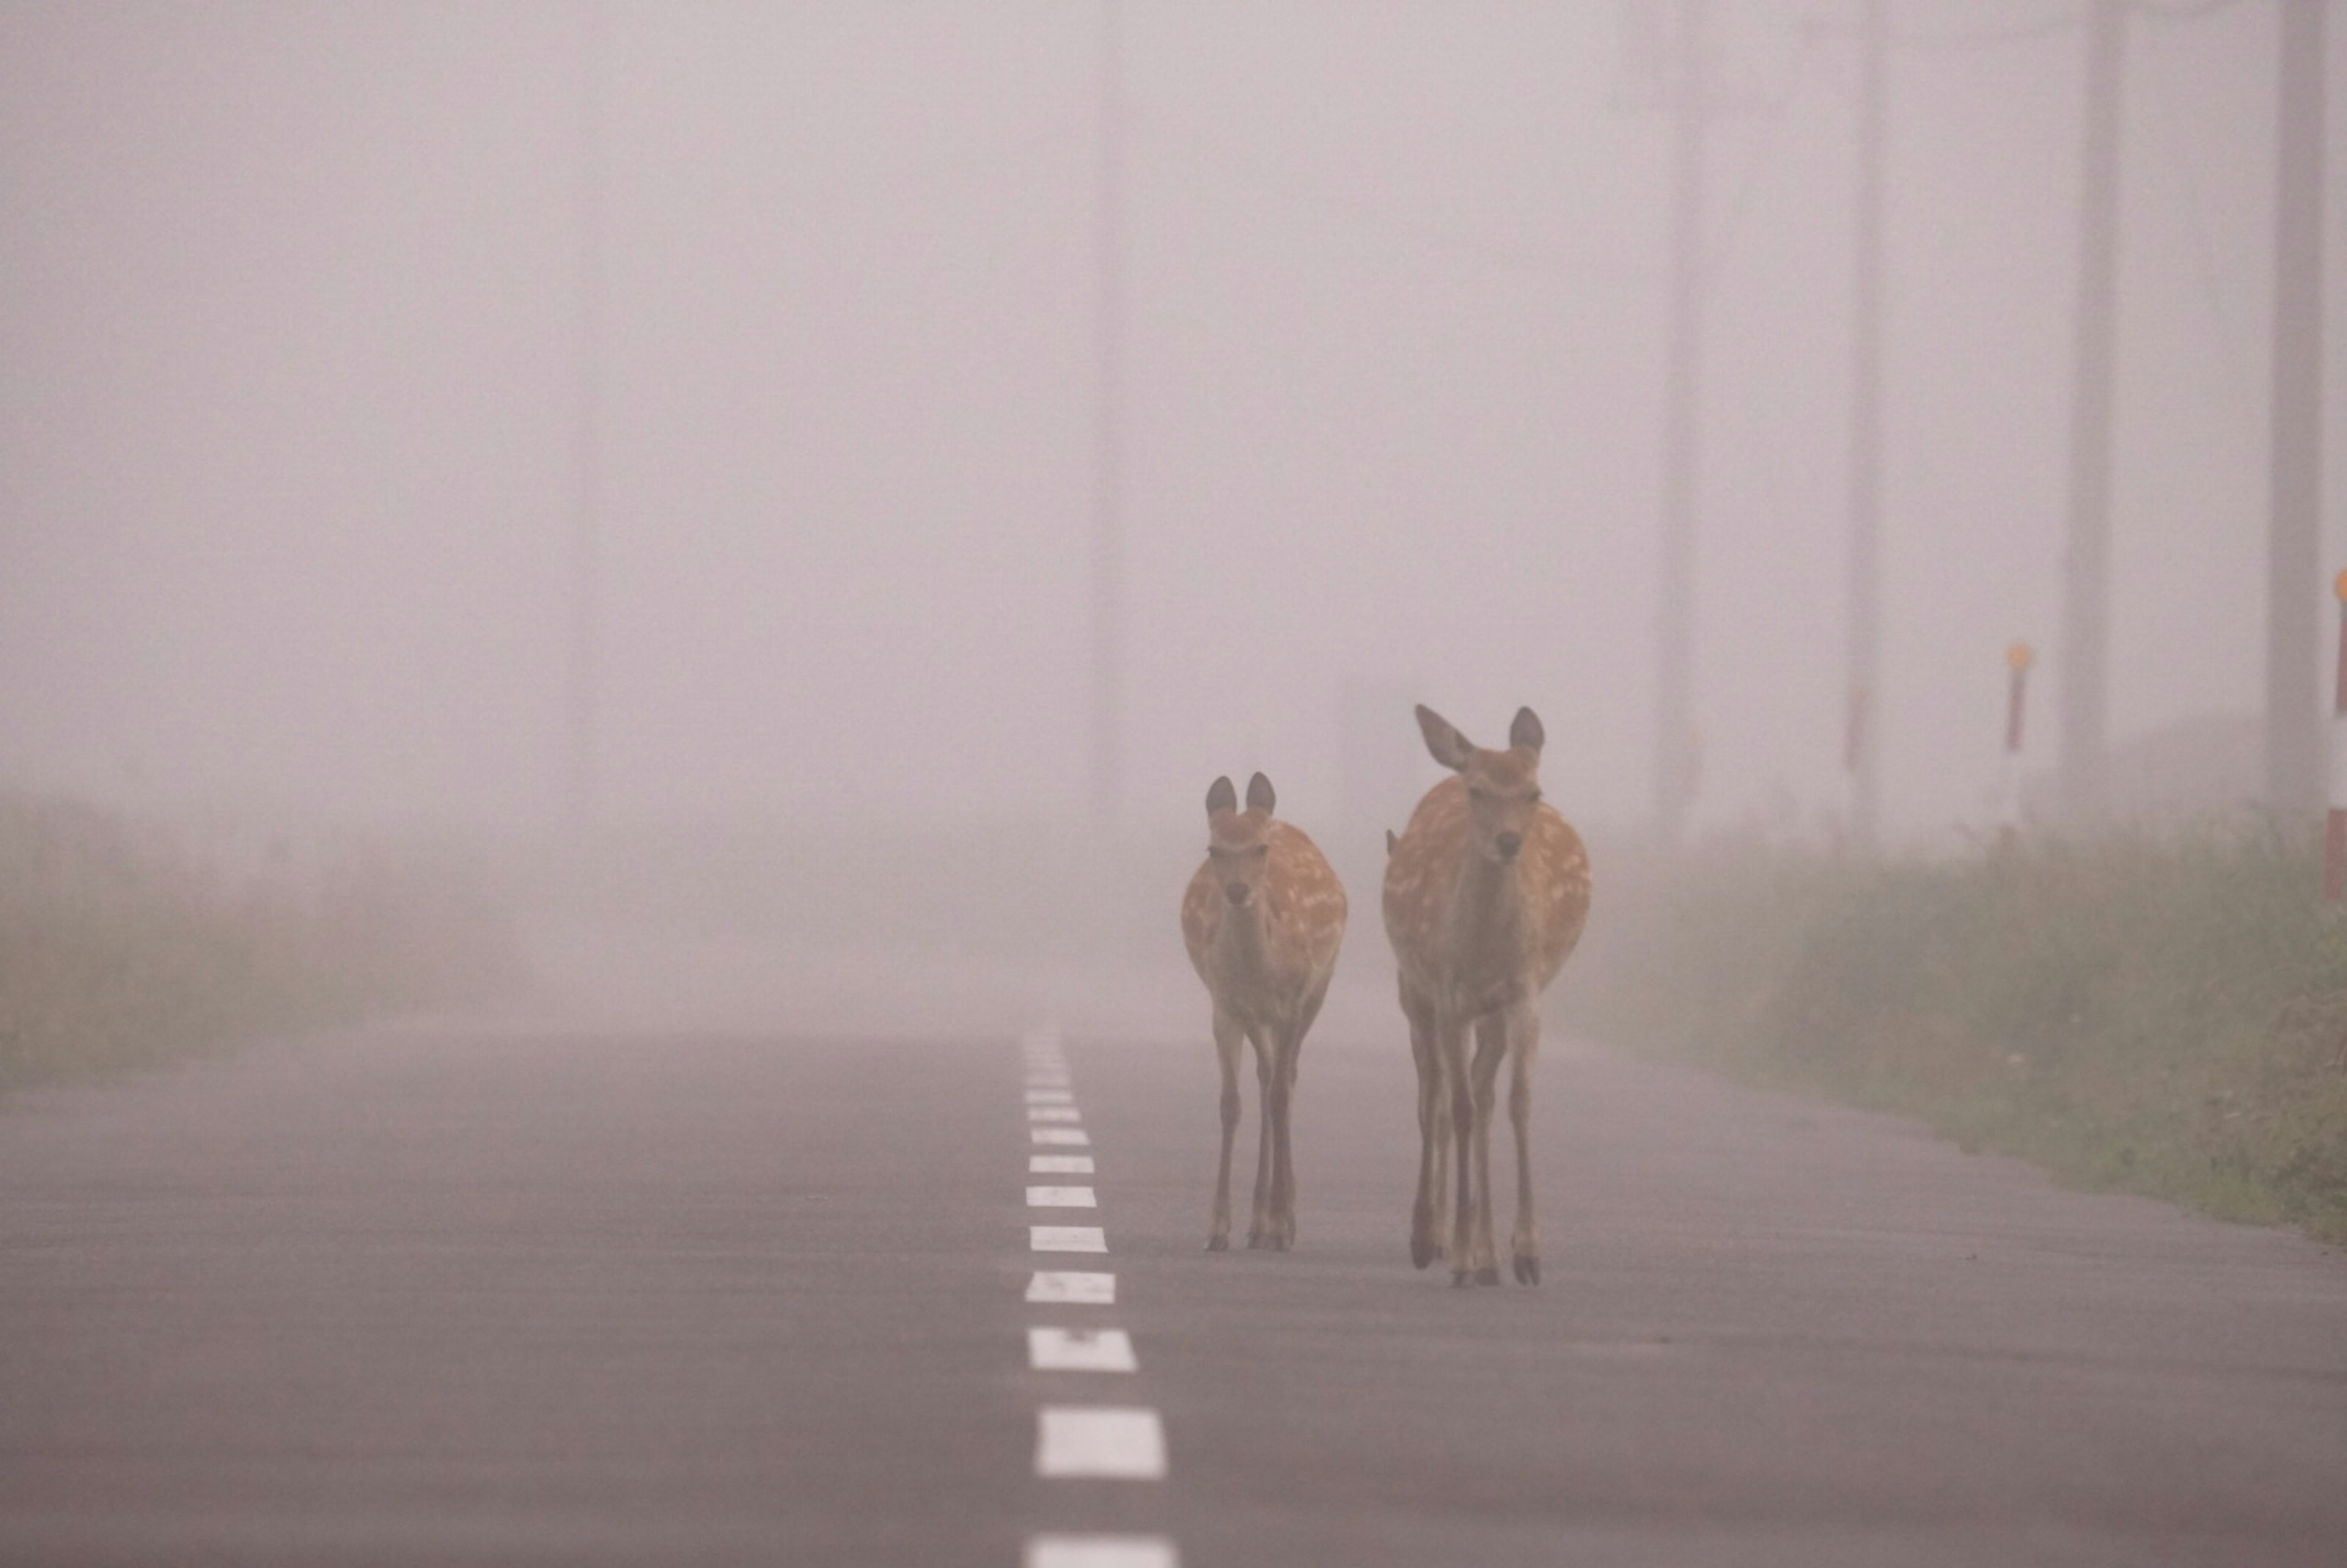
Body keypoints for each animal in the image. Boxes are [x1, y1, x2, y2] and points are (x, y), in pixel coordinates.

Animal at [1183, 769, 1351, 1248]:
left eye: (1260, 848)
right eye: (1214, 849)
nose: (1238, 890)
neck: (1259, 971)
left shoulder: (1293, 999)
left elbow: (1279, 1096)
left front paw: (1282, 1222)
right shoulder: (1224, 1004)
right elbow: (1230, 1103)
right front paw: (1218, 1225)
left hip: (1320, 986)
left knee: (1286, 1079)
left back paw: (1280, 1220)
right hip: (1257, 1017)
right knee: (1266, 1075)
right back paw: (1256, 1221)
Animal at [1370, 709, 1596, 1286]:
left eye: (1534, 791)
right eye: (1477, 791)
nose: (1510, 841)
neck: (1484, 950)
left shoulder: (1524, 993)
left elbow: (1517, 1101)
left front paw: (1526, 1252)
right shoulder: (1448, 996)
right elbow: (1459, 1108)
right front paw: (1456, 1251)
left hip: (1488, 1012)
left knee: (1481, 1093)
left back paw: (1487, 1254)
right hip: (1422, 998)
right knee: (1436, 1099)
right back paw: (1432, 1237)